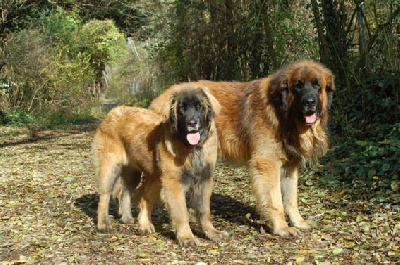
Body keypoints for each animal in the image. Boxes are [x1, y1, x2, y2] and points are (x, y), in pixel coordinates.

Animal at [91, 86, 228, 245]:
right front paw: (187, 237)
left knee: (130, 193)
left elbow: (204, 211)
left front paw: (212, 232)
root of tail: (112, 113)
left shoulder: (204, 181)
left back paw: (133, 220)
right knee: (105, 195)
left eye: (199, 106)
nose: (192, 123)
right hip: (111, 168)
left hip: (141, 175)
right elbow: (182, 212)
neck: (192, 149)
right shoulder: (173, 184)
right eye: (182, 108)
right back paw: (104, 223)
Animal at [150, 60, 334, 235]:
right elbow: (276, 201)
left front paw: (299, 222)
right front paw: (282, 227)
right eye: (298, 86)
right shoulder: (267, 163)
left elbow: (291, 199)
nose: (309, 102)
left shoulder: (289, 166)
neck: (282, 114)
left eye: (317, 85)